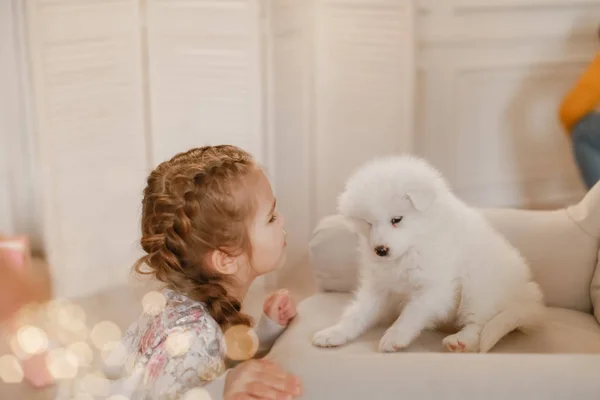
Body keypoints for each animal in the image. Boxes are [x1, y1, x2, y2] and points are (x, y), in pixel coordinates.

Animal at [312, 156, 548, 354]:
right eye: (368, 223)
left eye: (396, 219)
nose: (380, 250)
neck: (412, 247)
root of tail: (529, 299)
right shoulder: (379, 286)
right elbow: (358, 312)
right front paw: (335, 332)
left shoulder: (435, 288)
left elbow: (412, 313)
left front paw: (394, 336)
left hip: (478, 287)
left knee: (479, 324)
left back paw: (460, 340)